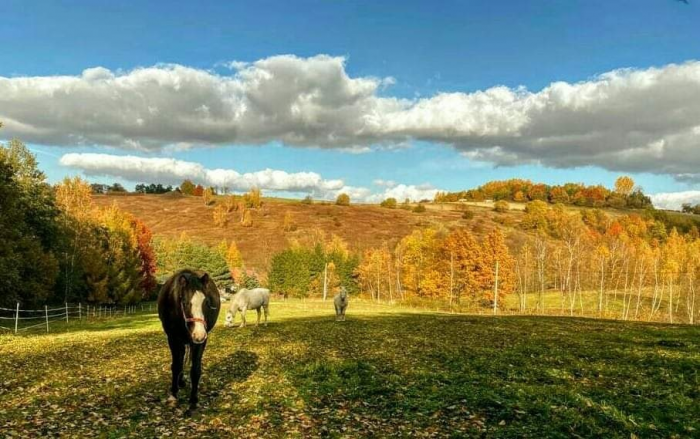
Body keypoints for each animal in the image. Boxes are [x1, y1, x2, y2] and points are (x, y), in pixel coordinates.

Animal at [157, 268, 220, 416]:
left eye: (206, 302)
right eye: (185, 303)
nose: (199, 334)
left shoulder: (200, 342)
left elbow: (195, 369)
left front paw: (193, 401)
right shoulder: (173, 339)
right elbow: (176, 366)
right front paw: (173, 396)